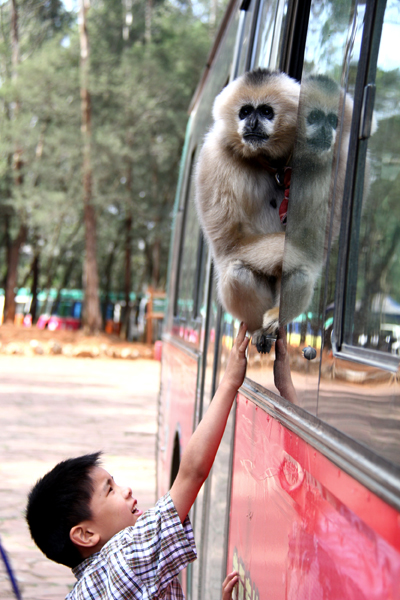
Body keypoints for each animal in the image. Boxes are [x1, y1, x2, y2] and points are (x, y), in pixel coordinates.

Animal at [194, 68, 300, 354]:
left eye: (266, 111)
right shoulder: (213, 156)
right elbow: (229, 244)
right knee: (236, 269)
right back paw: (259, 330)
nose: (252, 123)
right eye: (244, 112)